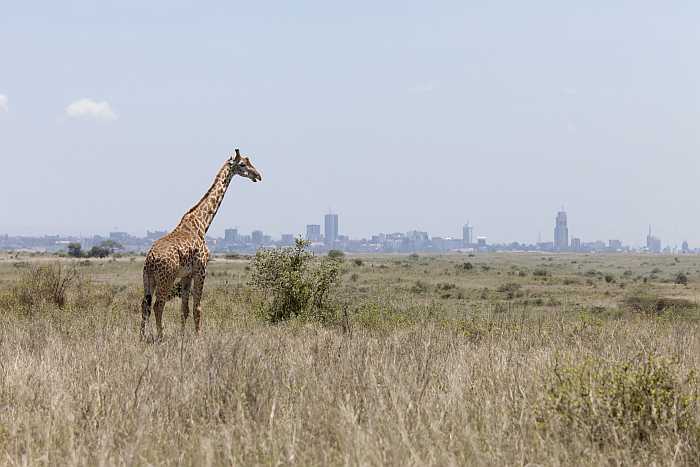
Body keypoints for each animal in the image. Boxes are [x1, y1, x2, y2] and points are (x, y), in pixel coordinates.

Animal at [141, 150, 262, 340]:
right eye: (242, 164)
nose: (258, 175)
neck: (202, 223)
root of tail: (150, 260)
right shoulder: (201, 269)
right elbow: (197, 308)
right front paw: (198, 337)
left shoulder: (186, 274)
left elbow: (184, 309)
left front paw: (183, 336)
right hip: (166, 278)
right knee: (158, 305)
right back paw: (161, 337)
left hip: (148, 279)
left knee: (144, 305)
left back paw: (141, 337)